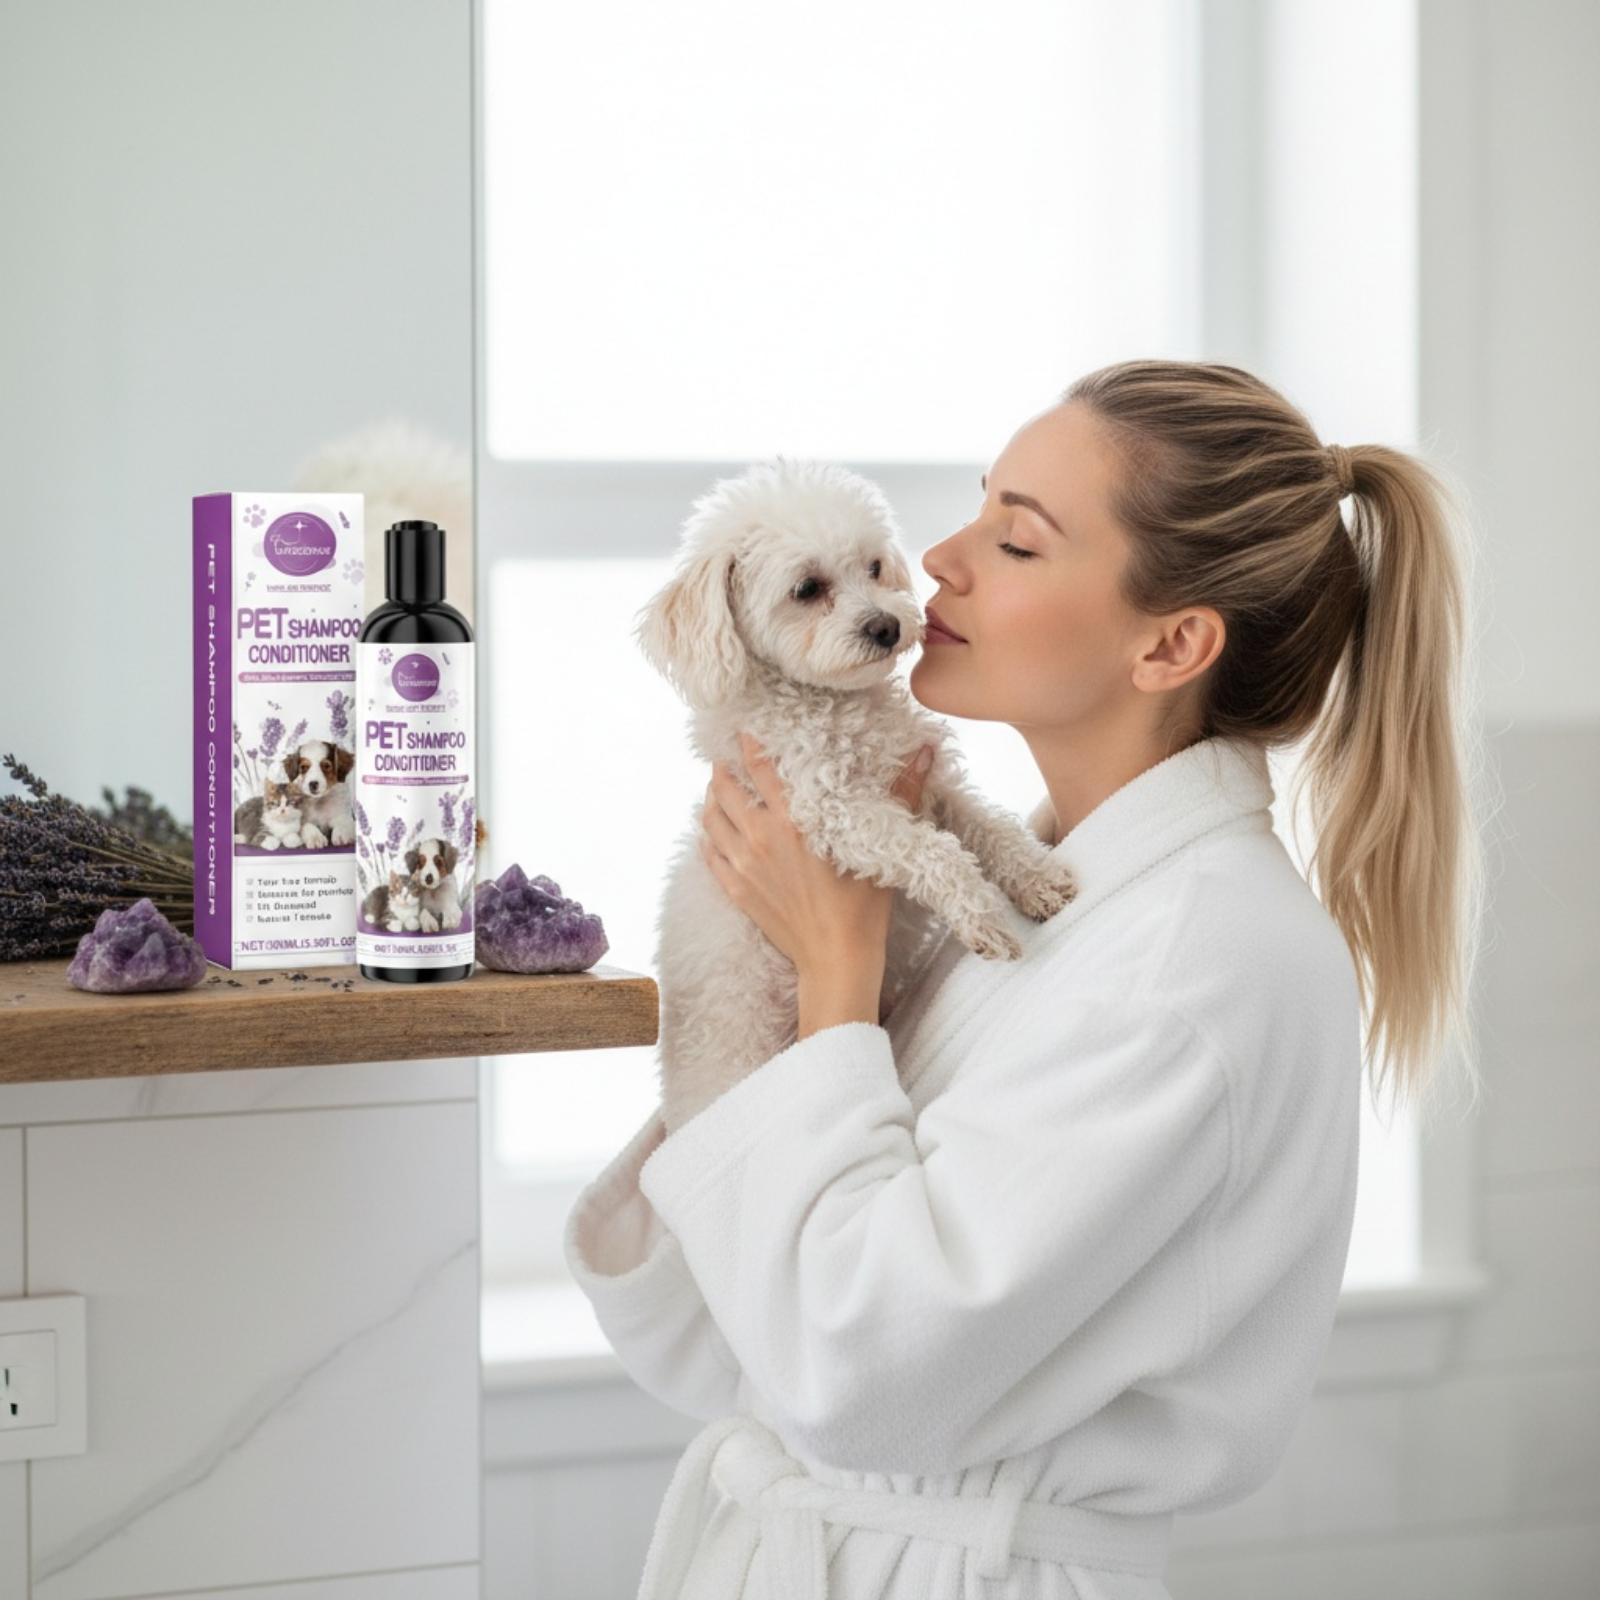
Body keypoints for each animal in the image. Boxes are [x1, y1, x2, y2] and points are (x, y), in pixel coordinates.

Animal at [638, 456, 1078, 1133]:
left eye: (873, 568)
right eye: (807, 589)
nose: (887, 625)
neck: (836, 707)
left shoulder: (931, 783)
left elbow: (988, 826)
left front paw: (1037, 878)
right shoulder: (834, 810)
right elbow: (936, 852)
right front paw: (981, 914)